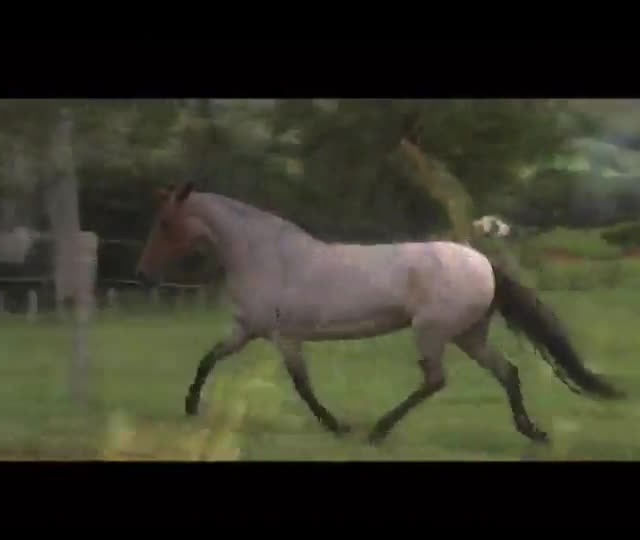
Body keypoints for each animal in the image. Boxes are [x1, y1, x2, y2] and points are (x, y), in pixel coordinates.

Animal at [136, 181, 625, 446]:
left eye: (165, 224)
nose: (144, 273)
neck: (263, 255)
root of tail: (483, 263)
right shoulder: (245, 329)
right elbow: (208, 359)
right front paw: (190, 407)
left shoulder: (283, 336)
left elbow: (302, 386)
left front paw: (337, 426)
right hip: (470, 335)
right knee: (507, 371)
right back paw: (532, 432)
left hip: (432, 332)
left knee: (435, 380)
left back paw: (378, 431)